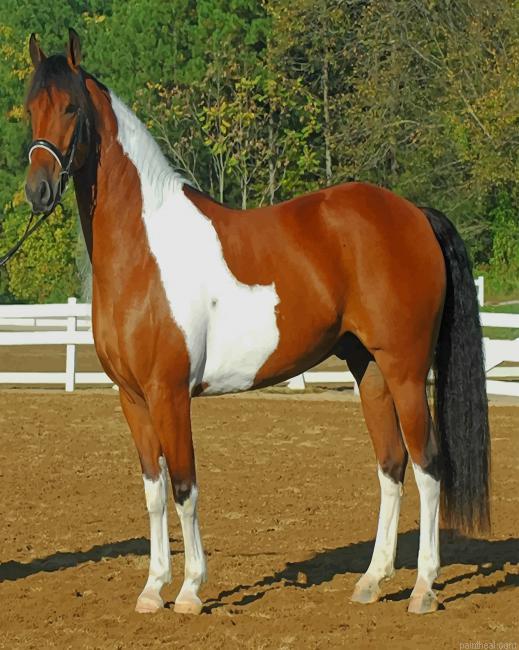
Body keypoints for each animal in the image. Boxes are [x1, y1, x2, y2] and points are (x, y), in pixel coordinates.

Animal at [23, 29, 490, 616]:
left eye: (70, 108)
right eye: (28, 109)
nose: (37, 190)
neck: (145, 250)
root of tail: (413, 214)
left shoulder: (169, 393)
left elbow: (184, 488)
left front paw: (191, 591)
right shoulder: (132, 398)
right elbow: (153, 493)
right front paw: (153, 589)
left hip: (405, 370)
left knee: (428, 466)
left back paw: (424, 587)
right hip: (371, 371)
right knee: (391, 464)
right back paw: (371, 581)